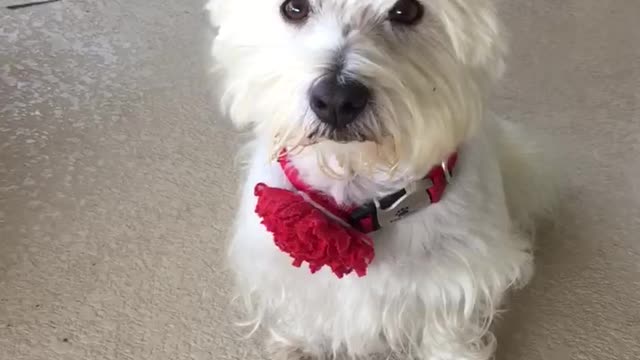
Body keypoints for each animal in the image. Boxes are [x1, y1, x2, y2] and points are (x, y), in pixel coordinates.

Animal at [206, 1, 556, 358]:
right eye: (294, 8)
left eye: (406, 10)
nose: (336, 100)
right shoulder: (280, 269)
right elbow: (299, 309)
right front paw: (297, 345)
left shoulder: (458, 274)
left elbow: (448, 327)